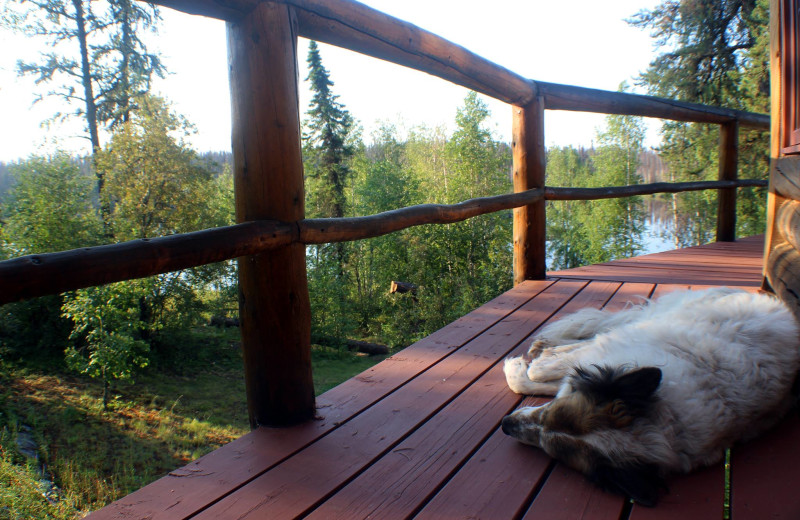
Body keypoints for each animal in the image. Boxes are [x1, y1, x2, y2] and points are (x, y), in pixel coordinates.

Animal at [504, 286, 796, 506]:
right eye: (547, 411)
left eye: (548, 448)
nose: (506, 425)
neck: (666, 420)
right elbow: (548, 373)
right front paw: (536, 361)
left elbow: (538, 375)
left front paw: (522, 367)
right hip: (663, 317)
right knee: (600, 330)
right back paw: (548, 346)